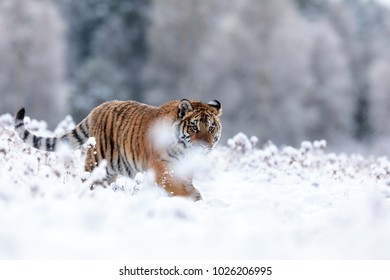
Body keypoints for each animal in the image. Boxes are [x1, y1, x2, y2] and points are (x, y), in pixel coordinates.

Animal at [14, 99, 222, 200]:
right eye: (194, 127)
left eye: (211, 127)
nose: (205, 146)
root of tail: (97, 109)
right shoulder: (161, 167)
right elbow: (175, 186)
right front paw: (194, 198)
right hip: (97, 163)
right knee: (87, 180)